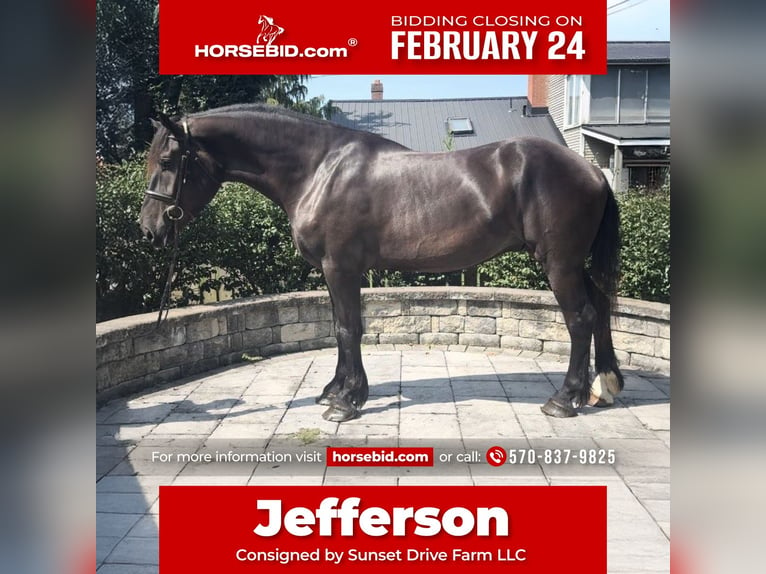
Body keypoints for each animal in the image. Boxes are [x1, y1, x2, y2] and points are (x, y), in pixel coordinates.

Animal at [141, 104, 628, 424]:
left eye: (167, 160)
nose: (149, 229)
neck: (319, 170)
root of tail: (593, 172)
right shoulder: (334, 271)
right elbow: (339, 327)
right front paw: (336, 391)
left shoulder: (340, 267)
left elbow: (348, 328)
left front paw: (346, 402)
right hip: (572, 263)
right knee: (601, 308)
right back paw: (604, 387)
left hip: (558, 263)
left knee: (581, 318)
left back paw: (564, 399)